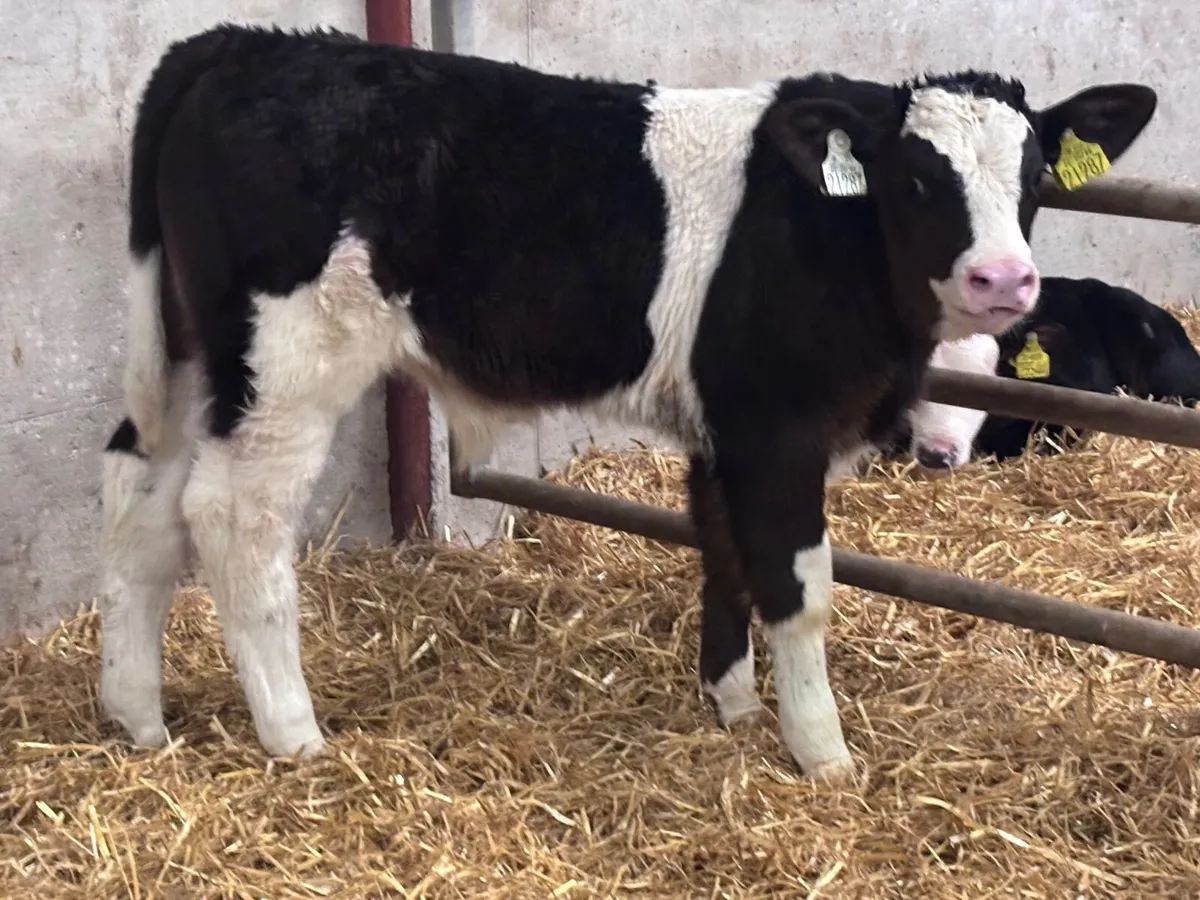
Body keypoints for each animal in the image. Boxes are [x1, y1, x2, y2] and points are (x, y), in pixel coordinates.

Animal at [98, 22, 1156, 782]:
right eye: (917, 177)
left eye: (1034, 178)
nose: (1002, 280)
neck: (833, 234)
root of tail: (240, 43)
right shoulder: (778, 426)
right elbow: (799, 587)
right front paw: (822, 752)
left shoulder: (722, 426)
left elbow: (725, 556)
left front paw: (731, 708)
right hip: (288, 368)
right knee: (232, 518)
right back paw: (293, 733)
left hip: (194, 360)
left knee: (139, 495)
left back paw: (136, 716)